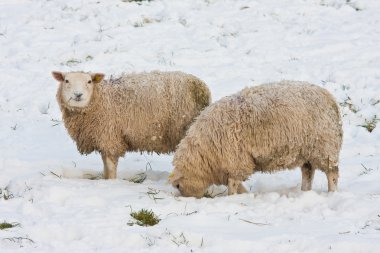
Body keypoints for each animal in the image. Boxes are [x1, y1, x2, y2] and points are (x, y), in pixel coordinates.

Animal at [51, 70, 211, 179]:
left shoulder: (110, 138)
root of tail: (201, 88)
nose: (78, 95)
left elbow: (110, 167)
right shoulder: (103, 139)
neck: (101, 101)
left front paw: (110, 182)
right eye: (66, 81)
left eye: (89, 81)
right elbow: (105, 166)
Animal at [171, 81, 342, 198]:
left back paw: (332, 193)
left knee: (332, 174)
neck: (205, 153)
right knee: (308, 172)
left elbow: (233, 183)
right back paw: (304, 192)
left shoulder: (236, 161)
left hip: (325, 147)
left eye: (178, 186)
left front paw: (232, 197)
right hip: (306, 152)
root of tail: (330, 98)